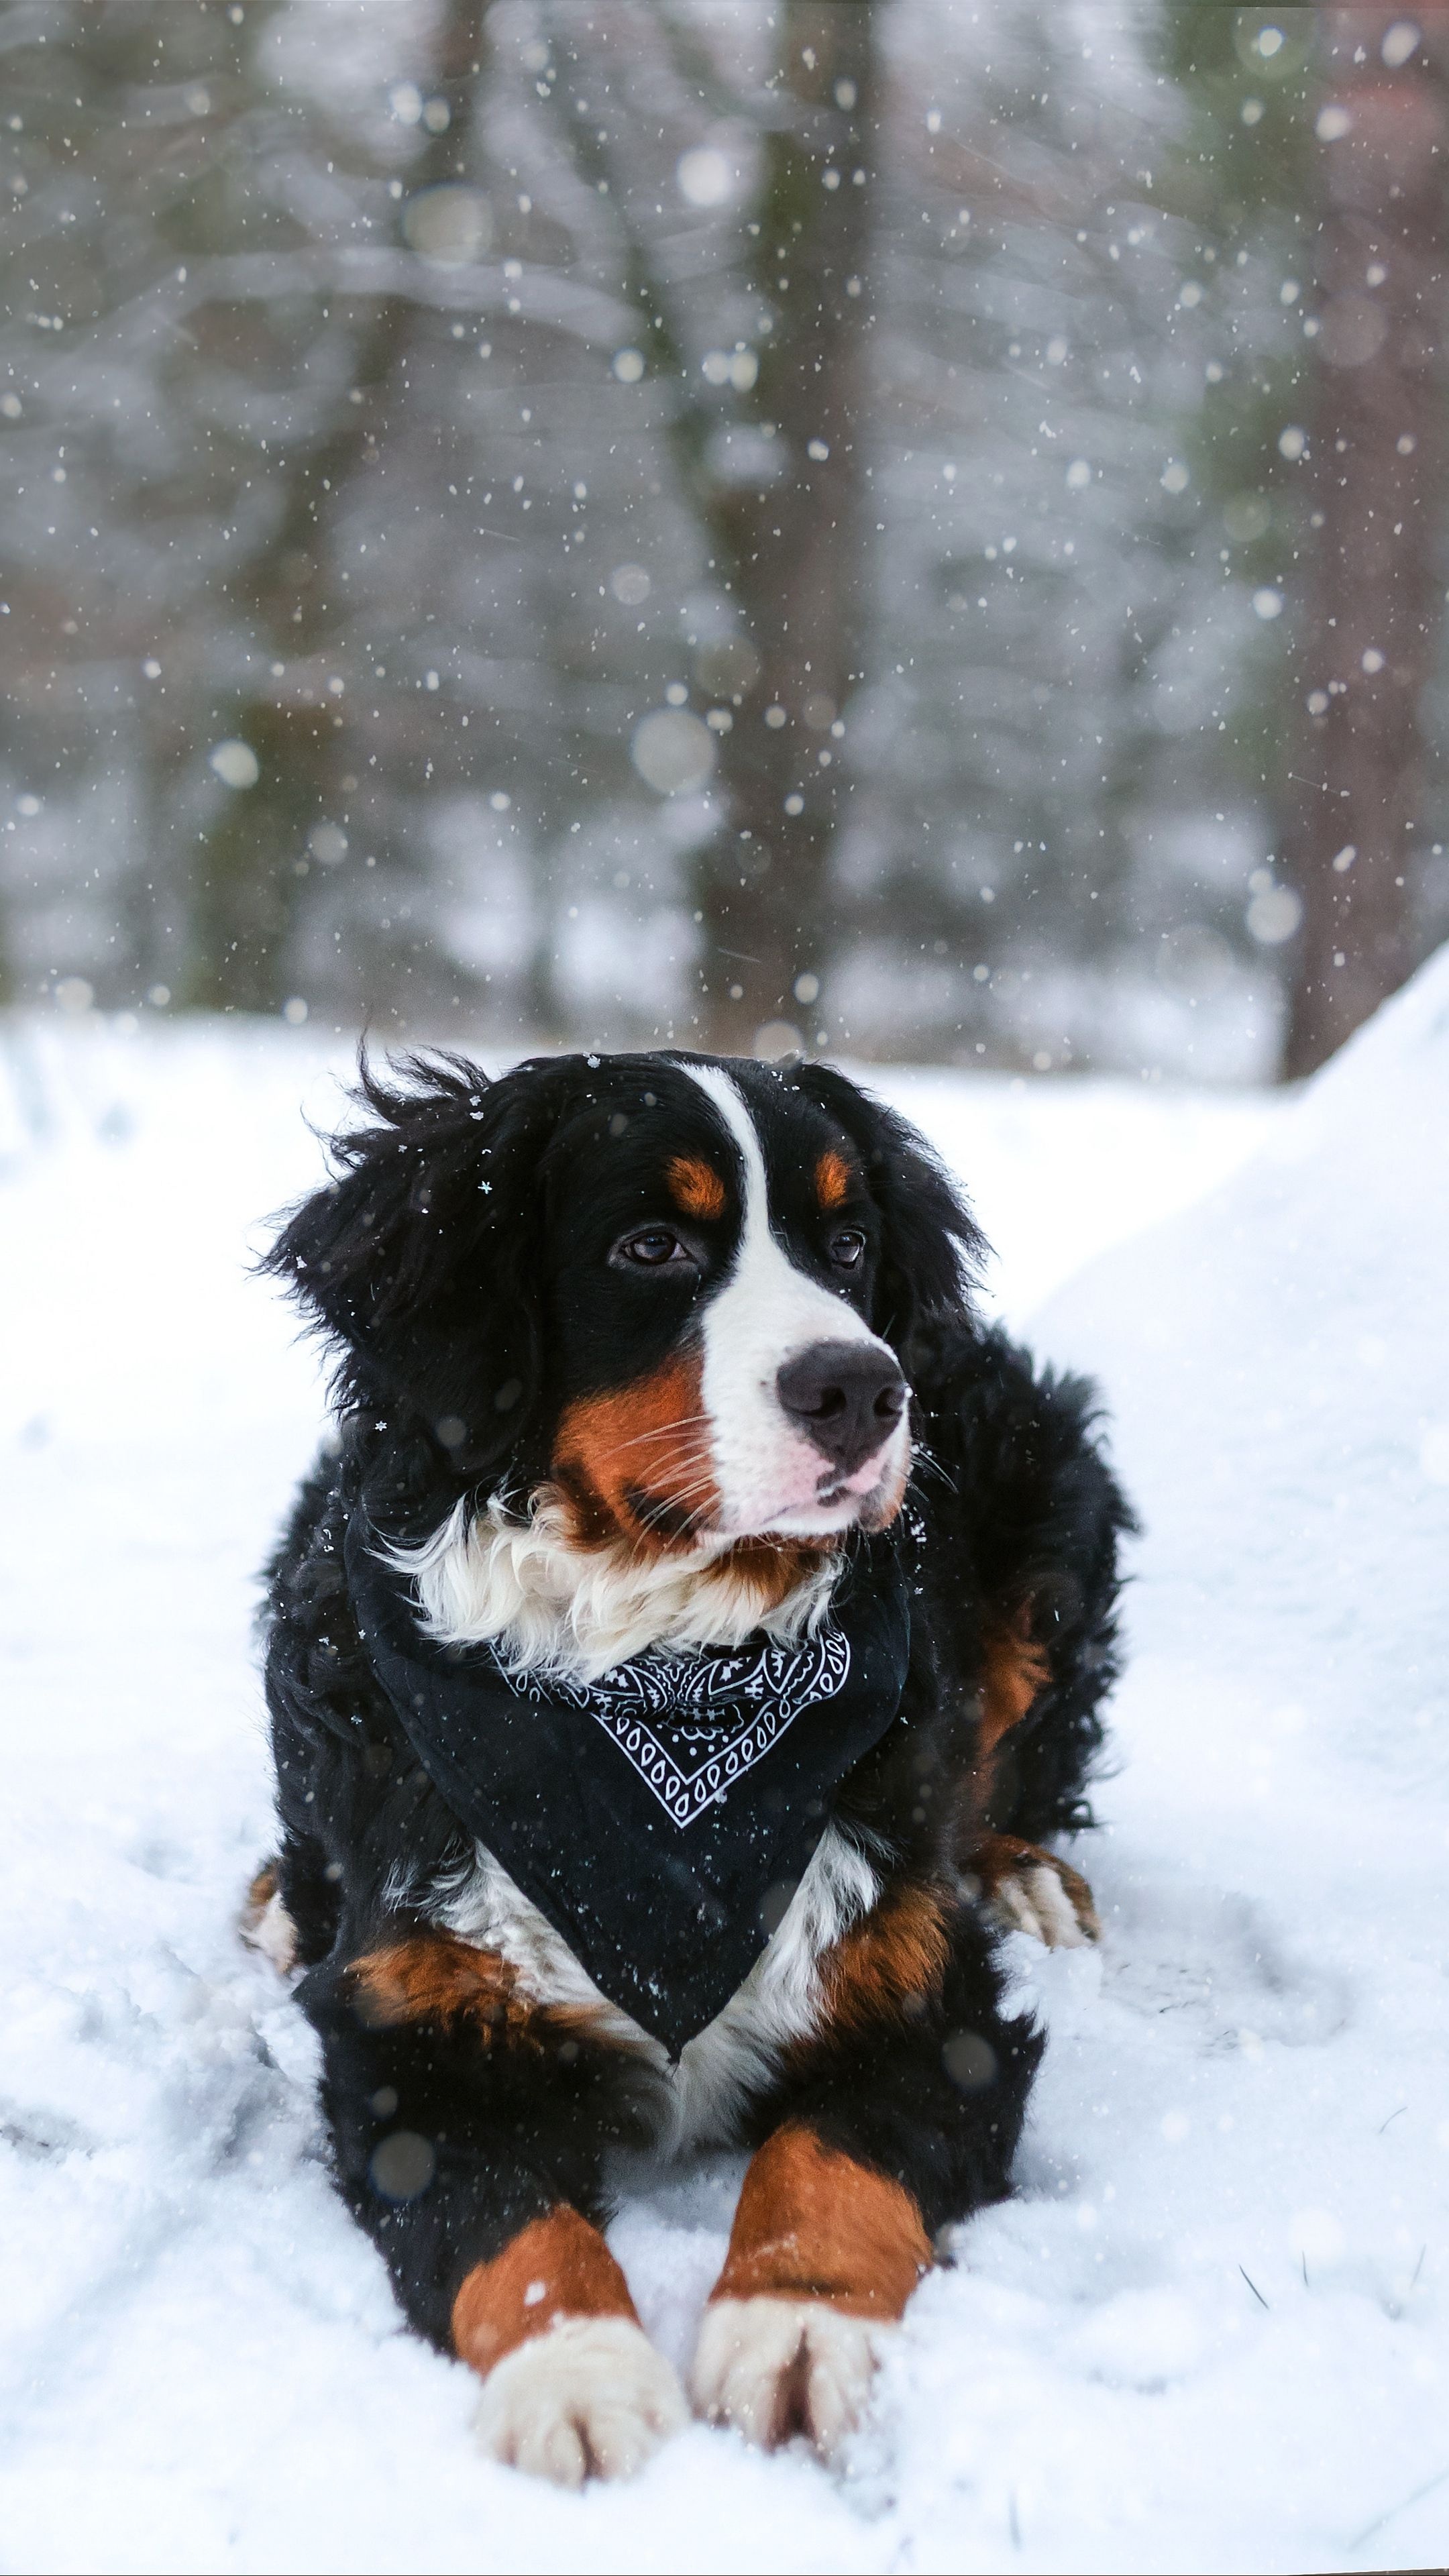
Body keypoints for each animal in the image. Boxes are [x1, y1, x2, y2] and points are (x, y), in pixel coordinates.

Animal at [247, 1040, 1129, 2473]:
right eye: (651, 1245)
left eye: (846, 1241)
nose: (861, 1389)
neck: (665, 1663)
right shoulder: (415, 2039)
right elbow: (508, 2223)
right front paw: (576, 2375)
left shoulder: (927, 1993)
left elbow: (833, 2158)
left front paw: (798, 2329)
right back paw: (282, 1900)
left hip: (1047, 1495)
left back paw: (1024, 1873)